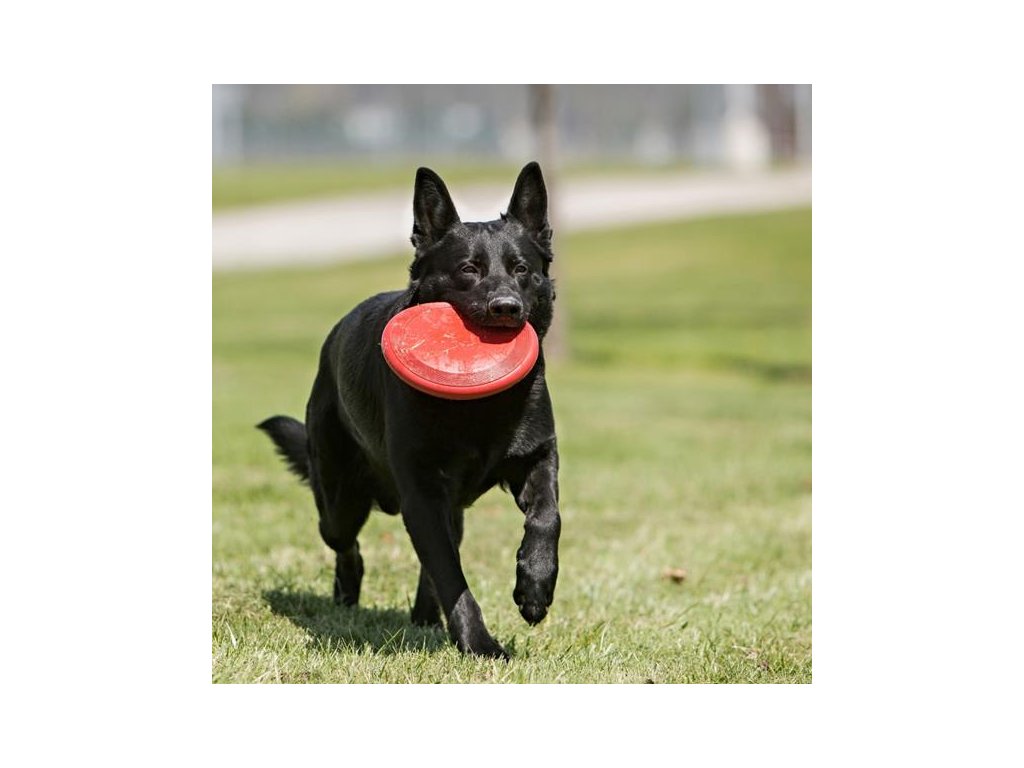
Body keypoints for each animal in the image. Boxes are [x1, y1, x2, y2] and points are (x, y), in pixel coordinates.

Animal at [258, 163, 560, 659]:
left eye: (521, 269)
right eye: (468, 269)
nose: (506, 308)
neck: (481, 407)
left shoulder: (537, 458)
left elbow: (546, 518)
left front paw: (534, 588)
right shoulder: (421, 492)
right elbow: (450, 574)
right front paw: (480, 644)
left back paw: (425, 617)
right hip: (340, 501)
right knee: (348, 544)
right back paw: (349, 595)